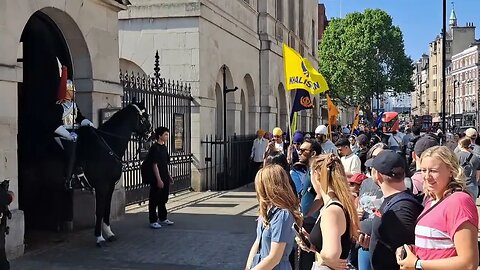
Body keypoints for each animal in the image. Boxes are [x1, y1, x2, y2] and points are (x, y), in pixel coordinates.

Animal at [19, 100, 151, 245]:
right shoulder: (101, 186)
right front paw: (99, 237)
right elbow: (99, 211)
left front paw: (109, 233)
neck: (108, 145)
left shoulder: (110, 186)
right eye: (145, 116)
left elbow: (107, 209)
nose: (151, 134)